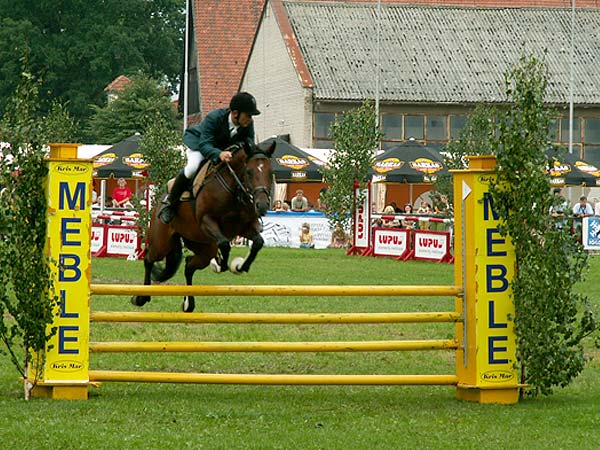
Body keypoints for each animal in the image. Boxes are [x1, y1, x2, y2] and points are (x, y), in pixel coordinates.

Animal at [131, 142, 276, 312]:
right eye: (249, 172)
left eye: (271, 172)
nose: (262, 206)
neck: (234, 191)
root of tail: (160, 200)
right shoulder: (207, 221)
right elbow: (225, 244)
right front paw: (222, 265)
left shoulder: (245, 227)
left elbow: (258, 242)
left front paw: (240, 266)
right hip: (162, 243)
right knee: (149, 258)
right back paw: (141, 297)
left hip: (203, 247)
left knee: (189, 265)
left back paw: (188, 303)